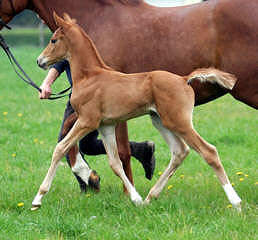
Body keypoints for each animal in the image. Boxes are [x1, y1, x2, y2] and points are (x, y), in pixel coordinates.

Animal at [0, 0, 256, 191]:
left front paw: (121, 188)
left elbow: (113, 150)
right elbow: (73, 137)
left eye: (53, 39)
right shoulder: (96, 115)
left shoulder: (103, 113)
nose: (39, 61)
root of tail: (185, 79)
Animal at [33, 13, 241, 211]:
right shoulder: (106, 126)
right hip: (160, 120)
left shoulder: (87, 121)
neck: (89, 76)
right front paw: (136, 199)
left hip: (178, 122)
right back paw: (150, 197)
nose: (39, 61)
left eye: (53, 40)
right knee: (179, 151)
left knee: (209, 151)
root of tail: (184, 79)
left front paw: (38, 199)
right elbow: (115, 163)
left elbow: (60, 148)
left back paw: (236, 202)